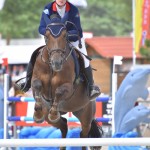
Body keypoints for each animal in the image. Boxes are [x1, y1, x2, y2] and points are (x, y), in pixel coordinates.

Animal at [30, 16, 103, 150]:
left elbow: (59, 91)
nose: (57, 62)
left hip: (86, 114)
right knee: (63, 125)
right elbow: (37, 85)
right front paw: (37, 114)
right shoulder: (35, 80)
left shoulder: (68, 87)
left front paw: (54, 114)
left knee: (83, 134)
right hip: (51, 115)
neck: (51, 68)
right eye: (47, 36)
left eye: (65, 36)